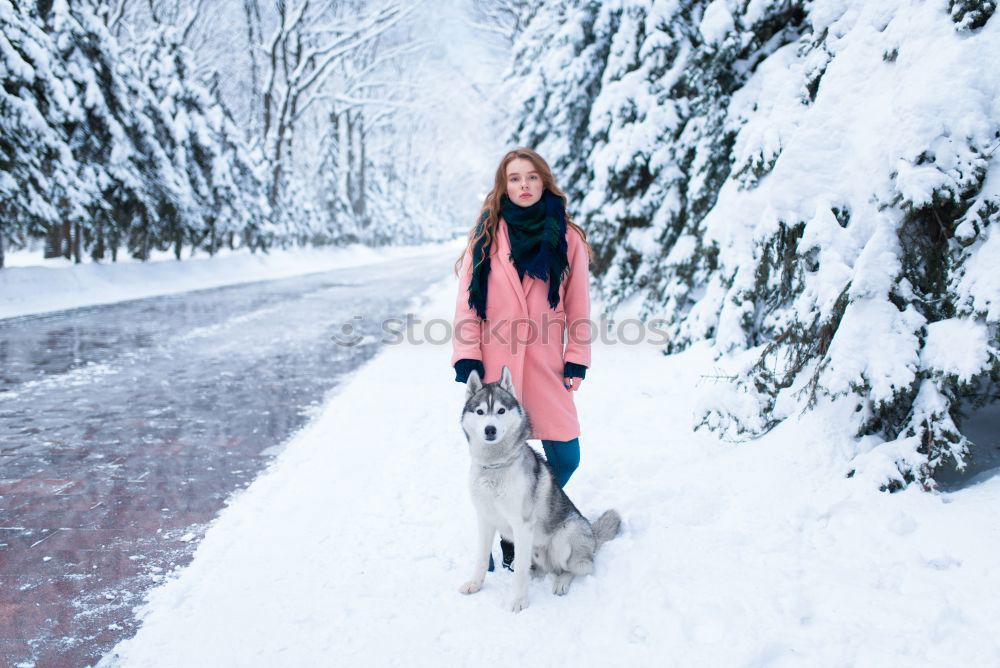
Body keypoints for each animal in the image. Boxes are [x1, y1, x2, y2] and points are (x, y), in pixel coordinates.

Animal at [458, 368, 620, 612]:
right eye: (480, 412)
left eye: (501, 410)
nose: (490, 429)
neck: (495, 466)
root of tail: (592, 535)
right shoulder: (485, 518)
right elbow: (482, 559)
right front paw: (475, 584)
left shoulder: (522, 525)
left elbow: (520, 573)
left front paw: (519, 601)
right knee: (535, 566)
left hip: (566, 535)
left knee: (577, 568)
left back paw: (561, 582)